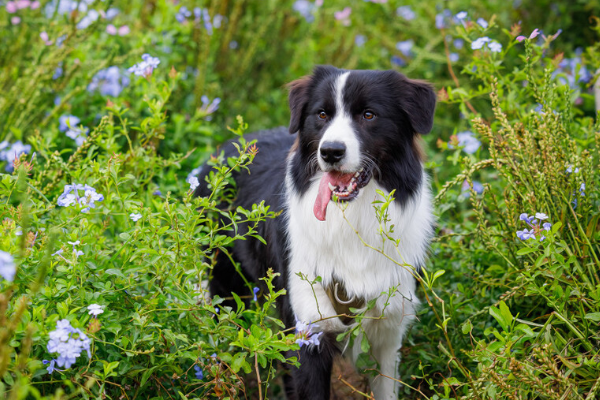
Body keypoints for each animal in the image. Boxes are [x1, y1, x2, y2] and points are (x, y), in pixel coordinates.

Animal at [197, 66, 436, 400]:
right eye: (322, 114)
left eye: (369, 115)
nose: (331, 151)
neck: (351, 218)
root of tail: (219, 154)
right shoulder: (308, 332)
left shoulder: (388, 333)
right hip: (226, 287)